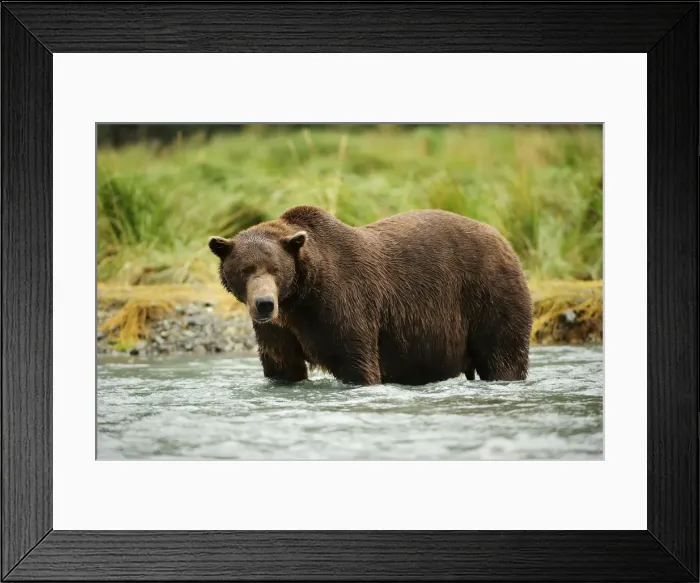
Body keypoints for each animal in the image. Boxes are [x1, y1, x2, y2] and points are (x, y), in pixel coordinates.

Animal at [208, 205, 533, 386]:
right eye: (245, 270)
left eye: (275, 269)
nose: (264, 304)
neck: (300, 298)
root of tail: (504, 240)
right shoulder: (279, 329)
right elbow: (282, 365)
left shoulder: (343, 302)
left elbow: (356, 360)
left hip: (490, 294)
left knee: (503, 355)